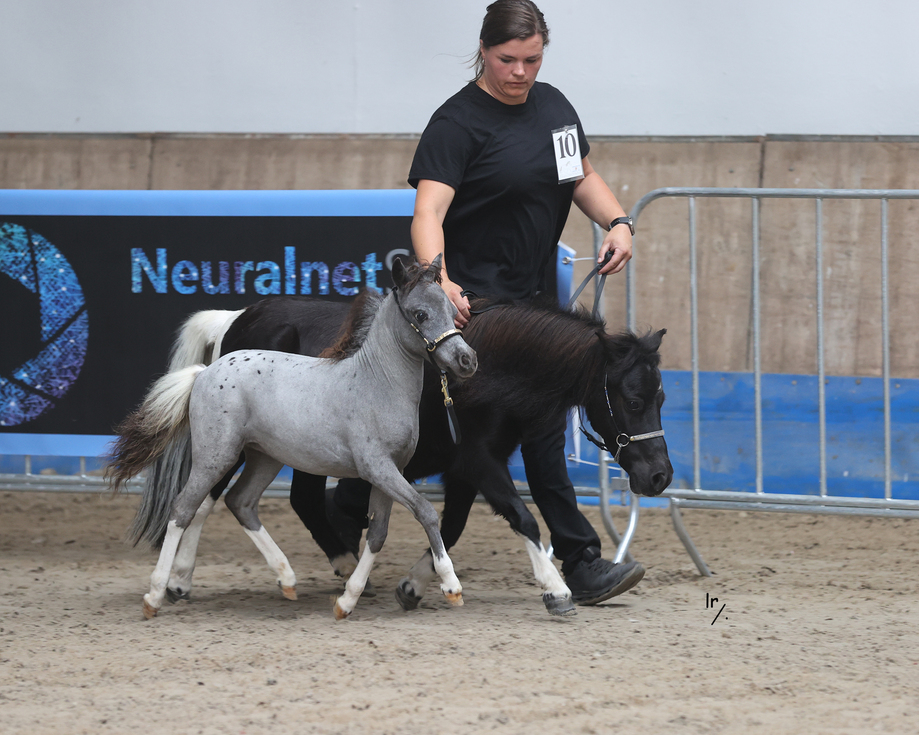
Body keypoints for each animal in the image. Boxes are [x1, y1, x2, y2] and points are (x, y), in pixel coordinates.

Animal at [105, 256, 478, 620]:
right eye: (420, 314)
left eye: (452, 309)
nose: (467, 360)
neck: (375, 383)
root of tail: (205, 372)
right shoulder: (377, 468)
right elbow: (426, 512)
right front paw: (451, 585)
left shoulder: (392, 471)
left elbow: (377, 534)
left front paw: (347, 601)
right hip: (218, 455)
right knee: (184, 507)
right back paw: (157, 594)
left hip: (264, 458)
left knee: (240, 502)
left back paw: (286, 579)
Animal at [143, 288, 672, 617]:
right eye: (633, 400)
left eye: (663, 398)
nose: (660, 478)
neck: (489, 371)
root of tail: (235, 319)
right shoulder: (479, 461)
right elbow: (522, 516)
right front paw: (555, 589)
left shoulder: (465, 470)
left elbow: (452, 525)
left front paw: (415, 584)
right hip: (236, 445)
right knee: (204, 500)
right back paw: (179, 580)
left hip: (288, 449)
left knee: (288, 499)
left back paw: (338, 565)